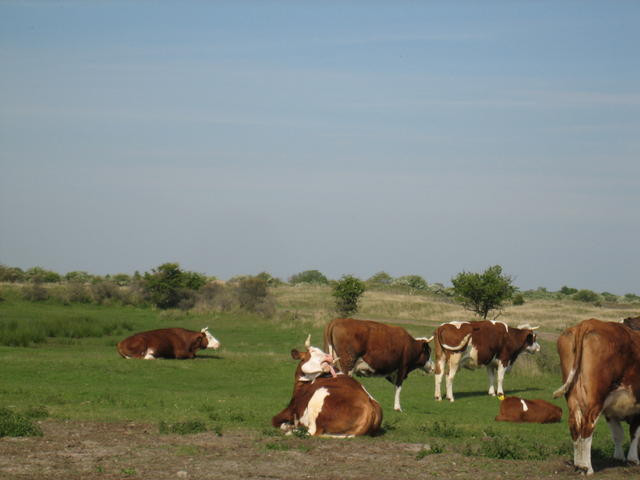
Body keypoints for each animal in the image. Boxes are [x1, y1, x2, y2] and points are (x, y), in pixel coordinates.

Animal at [553, 318, 640, 474]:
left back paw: (579, 465)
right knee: (587, 426)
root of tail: (587, 323)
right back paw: (586, 468)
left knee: (575, 425)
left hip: (573, 398)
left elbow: (618, 434)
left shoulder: (612, 410)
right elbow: (634, 433)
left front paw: (618, 457)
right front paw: (633, 459)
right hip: (596, 399)